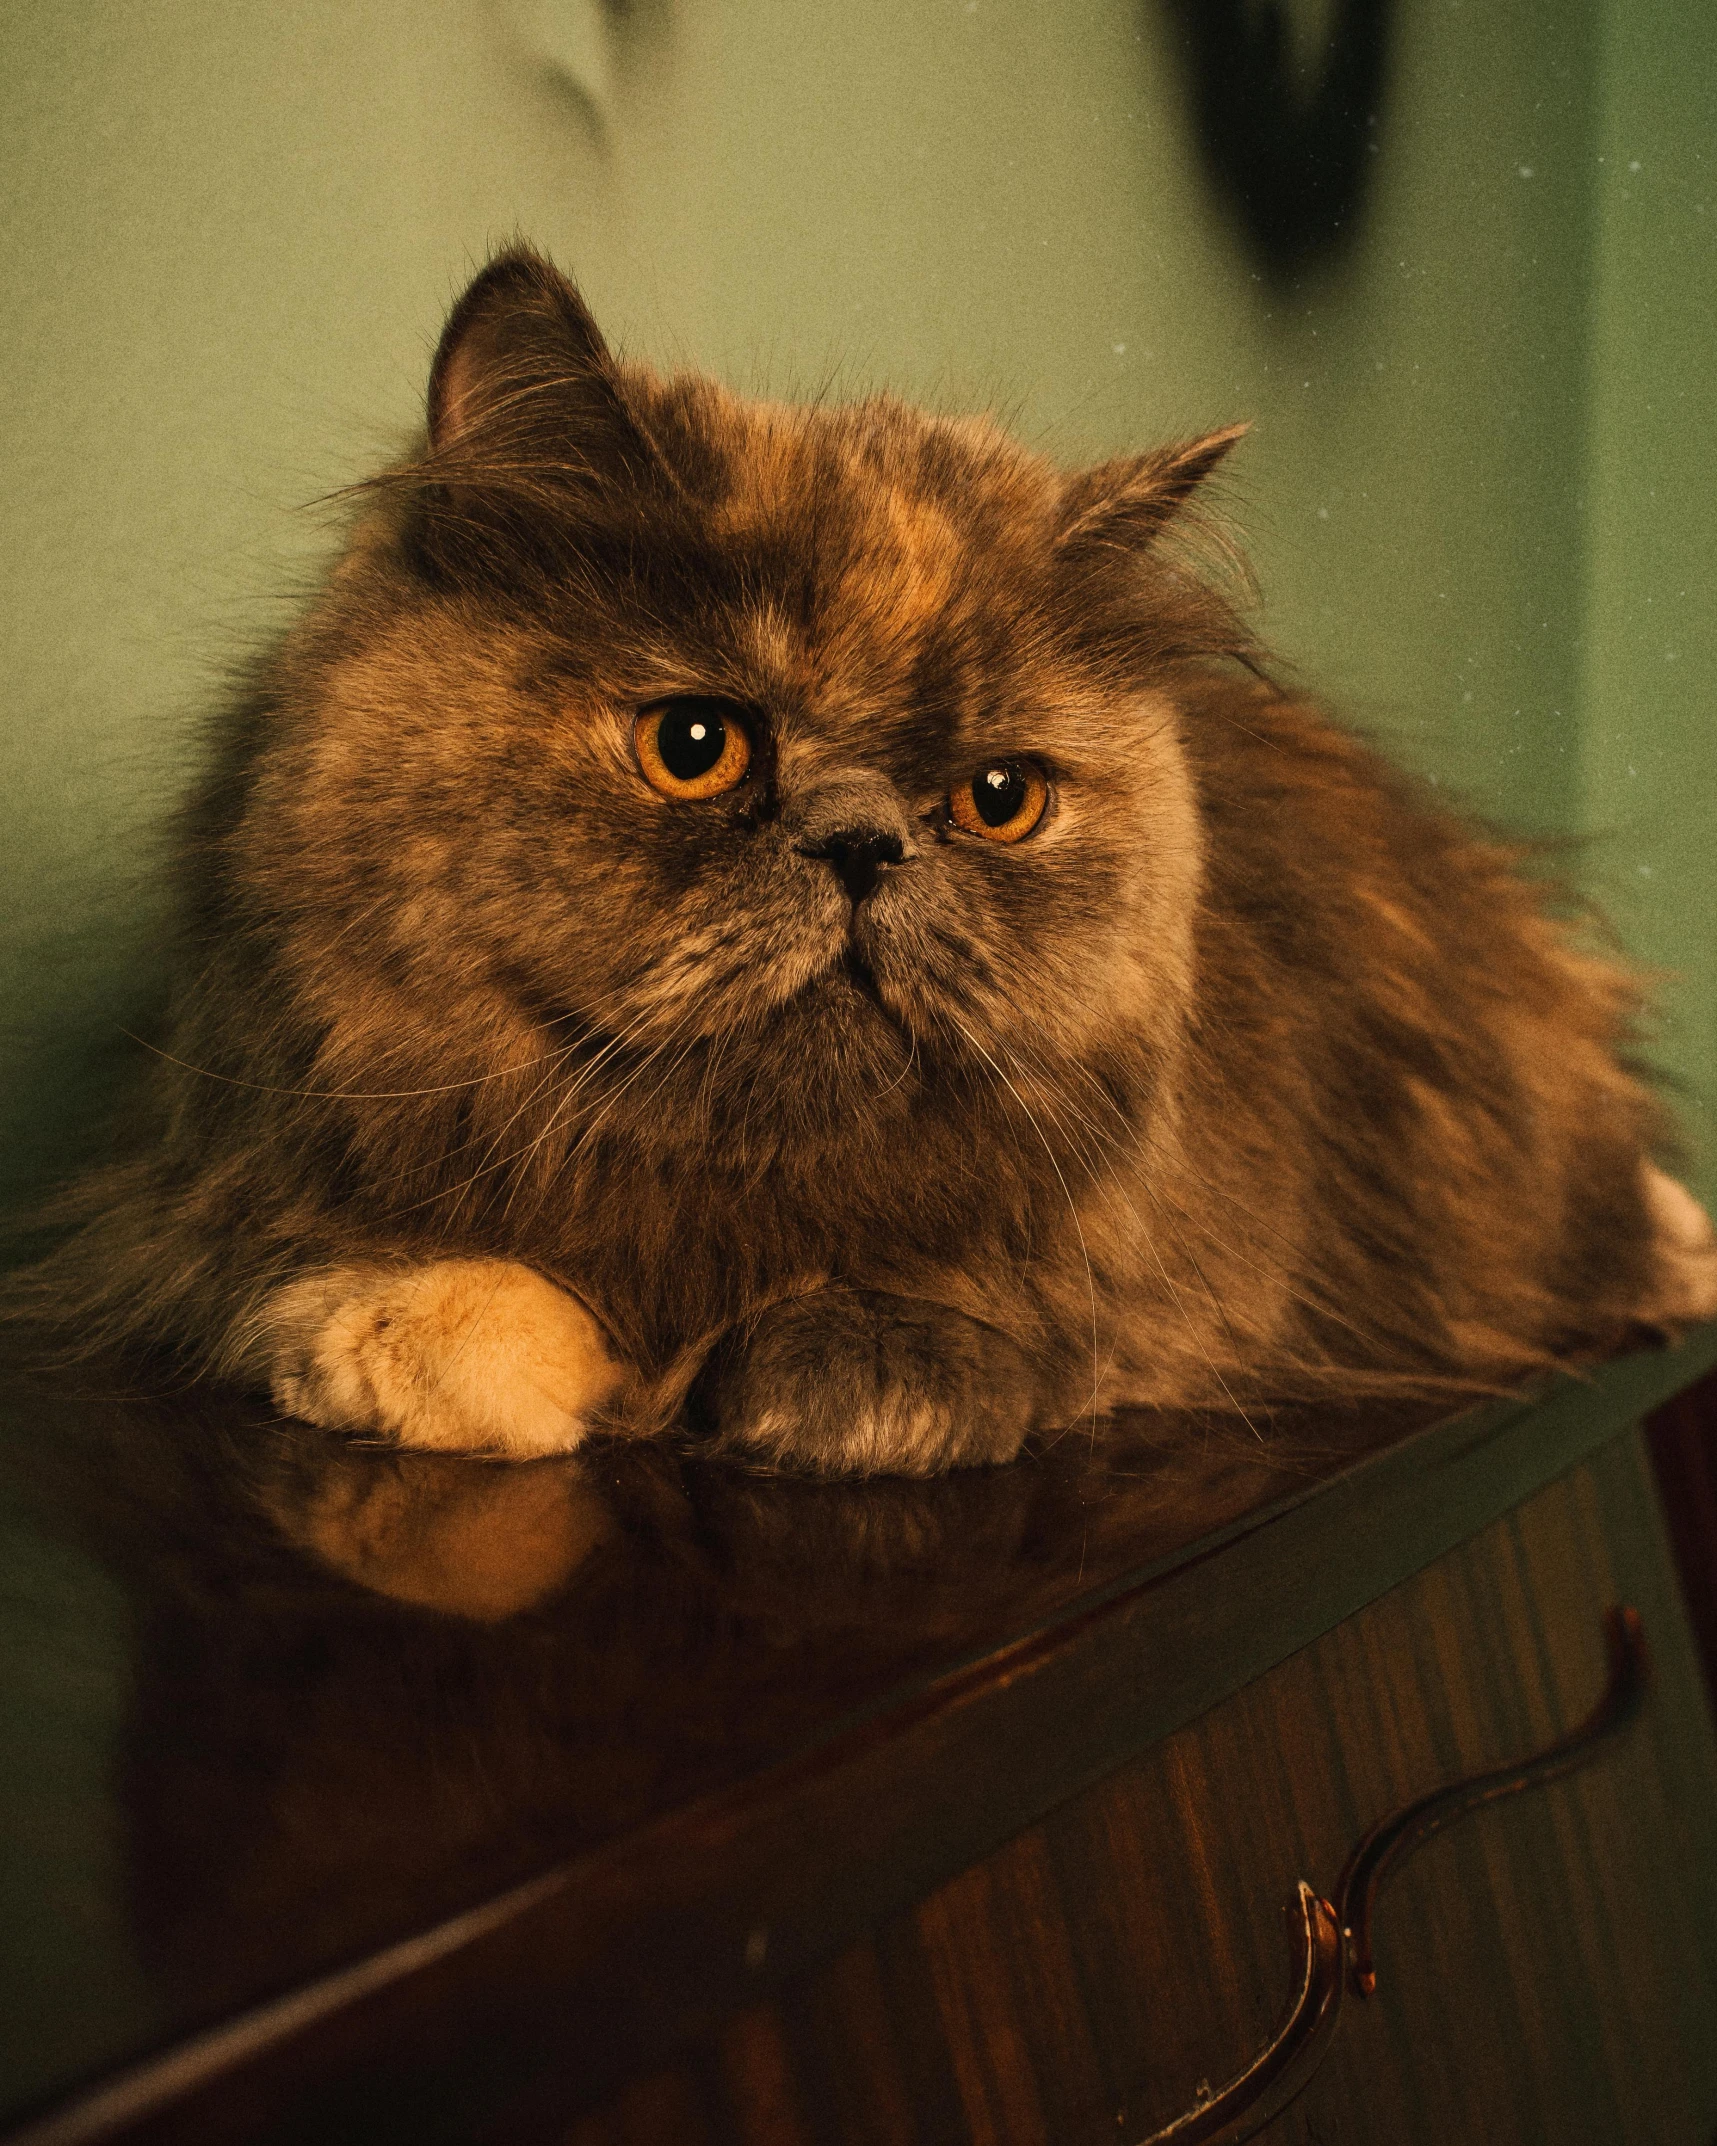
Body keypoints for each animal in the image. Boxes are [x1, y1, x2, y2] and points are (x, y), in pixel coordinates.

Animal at [16, 239, 1717, 1476]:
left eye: (998, 797)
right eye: (695, 745)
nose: (862, 843)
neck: (717, 1231)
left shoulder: (1175, 1273)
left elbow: (978, 1319)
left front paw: (830, 1375)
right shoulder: (186, 1197)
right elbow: (381, 1297)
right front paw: (455, 1351)